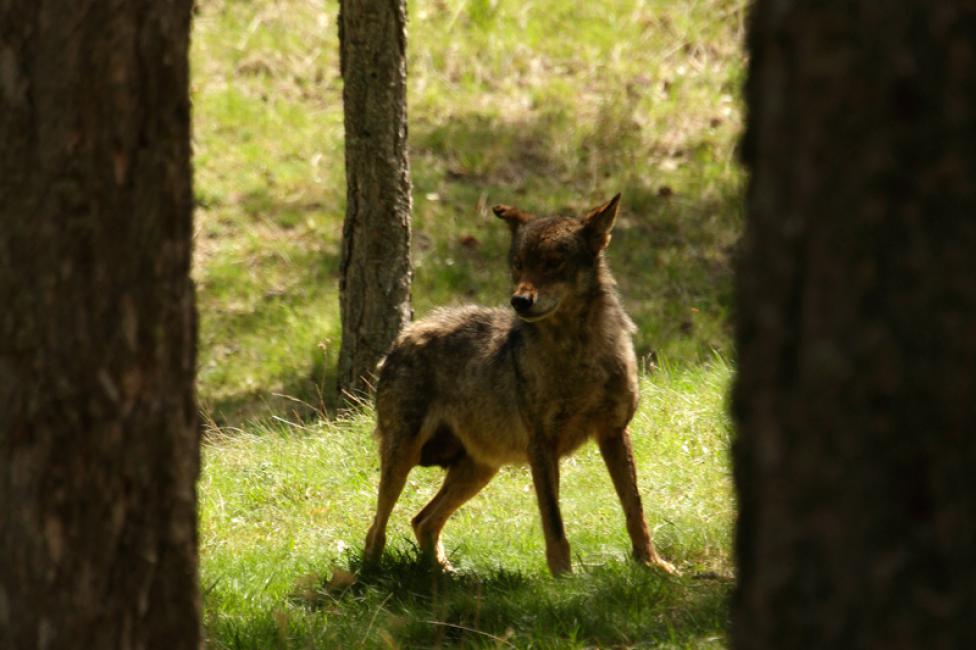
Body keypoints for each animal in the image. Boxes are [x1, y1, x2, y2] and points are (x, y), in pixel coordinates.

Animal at [362, 192, 676, 572]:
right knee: (376, 530)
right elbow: (554, 523)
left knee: (422, 521)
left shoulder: (614, 433)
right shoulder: (542, 447)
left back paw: (443, 574)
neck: (578, 354)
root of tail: (401, 337)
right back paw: (370, 578)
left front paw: (652, 564)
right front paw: (564, 579)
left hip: (479, 470)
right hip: (403, 458)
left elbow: (635, 508)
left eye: (554, 262)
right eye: (518, 264)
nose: (519, 301)